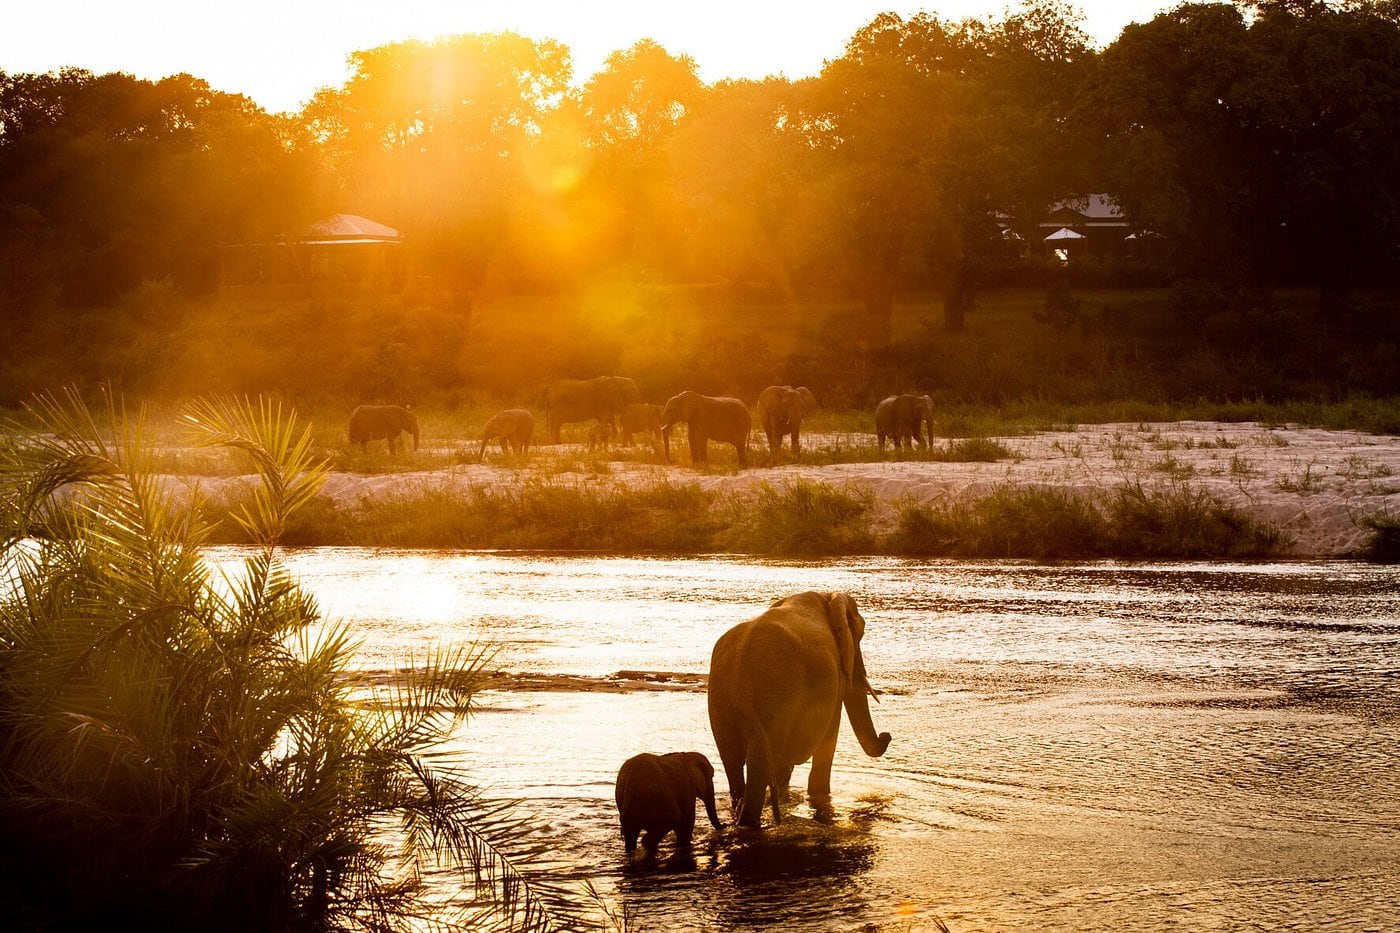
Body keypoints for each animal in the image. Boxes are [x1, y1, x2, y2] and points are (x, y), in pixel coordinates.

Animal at [707, 591, 892, 829]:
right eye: (861, 633)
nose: (886, 735)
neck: (827, 597)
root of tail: (741, 678)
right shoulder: (835, 680)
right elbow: (829, 737)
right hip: (777, 700)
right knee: (759, 766)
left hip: (723, 701)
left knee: (732, 762)